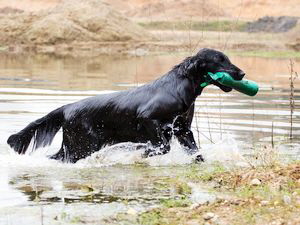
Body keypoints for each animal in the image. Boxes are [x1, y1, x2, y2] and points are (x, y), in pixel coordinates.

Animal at [7, 48, 246, 163]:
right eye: (219, 60)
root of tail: (67, 107)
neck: (181, 85)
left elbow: (196, 153)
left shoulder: (183, 130)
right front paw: (141, 153)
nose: (242, 73)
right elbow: (162, 146)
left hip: (76, 146)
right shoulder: (148, 118)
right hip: (81, 146)